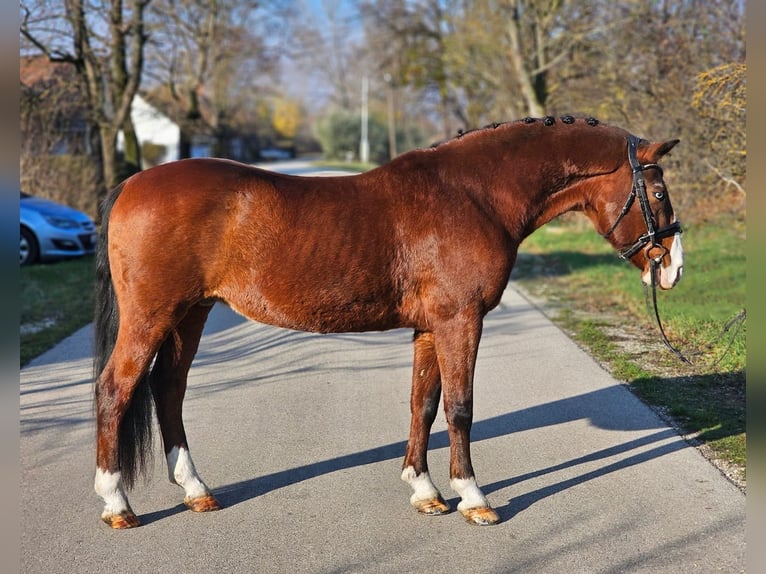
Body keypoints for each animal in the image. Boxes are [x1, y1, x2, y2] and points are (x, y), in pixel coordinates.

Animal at [93, 115, 684, 528]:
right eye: (657, 193)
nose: (674, 268)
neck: (474, 196)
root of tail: (131, 184)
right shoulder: (460, 322)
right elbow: (460, 408)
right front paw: (474, 498)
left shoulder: (431, 327)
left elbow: (423, 403)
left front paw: (425, 492)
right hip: (152, 316)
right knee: (116, 390)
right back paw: (117, 503)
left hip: (190, 314)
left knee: (168, 388)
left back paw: (197, 491)